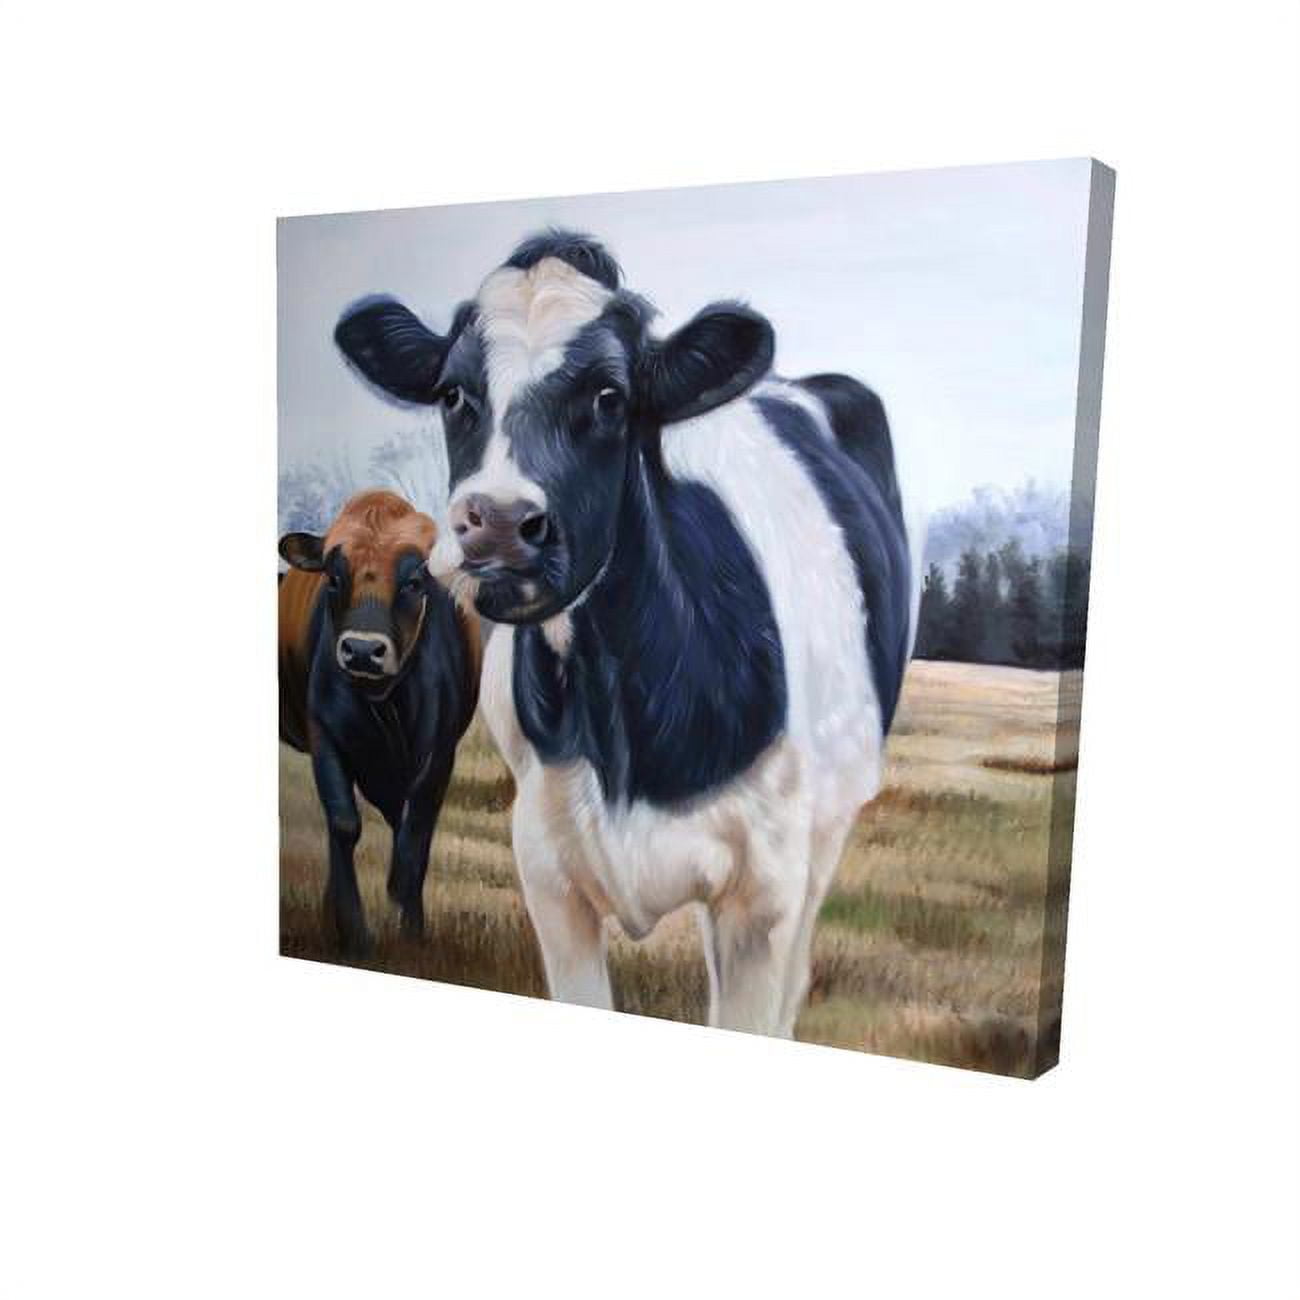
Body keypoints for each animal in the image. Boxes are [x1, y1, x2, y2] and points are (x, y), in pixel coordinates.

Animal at [279, 489, 481, 956]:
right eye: (334, 578)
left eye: (414, 582)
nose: (362, 651)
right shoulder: (324, 737)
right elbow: (343, 823)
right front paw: (353, 931)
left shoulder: (439, 755)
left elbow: (414, 837)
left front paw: (411, 931)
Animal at [333, 231, 916, 1034]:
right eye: (453, 394)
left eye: (610, 396)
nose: (499, 523)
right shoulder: (547, 871)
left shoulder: (764, 890)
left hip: (830, 823)